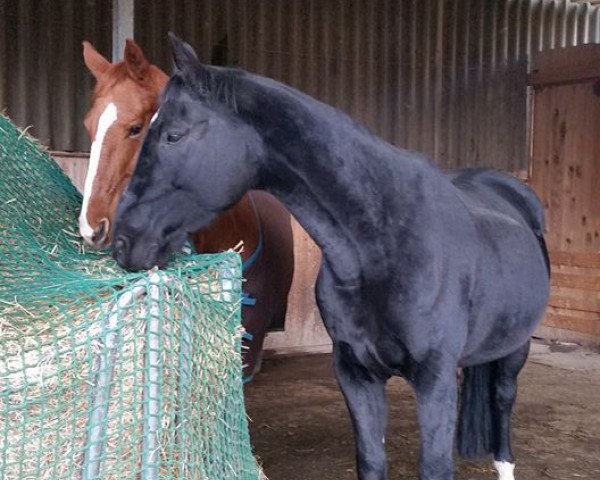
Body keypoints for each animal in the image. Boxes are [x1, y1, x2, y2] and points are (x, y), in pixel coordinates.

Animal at [112, 34, 548, 480]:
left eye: (174, 135)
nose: (123, 241)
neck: (383, 245)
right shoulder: (355, 373)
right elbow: (371, 460)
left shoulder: (433, 377)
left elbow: (435, 466)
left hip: (515, 349)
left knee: (503, 400)